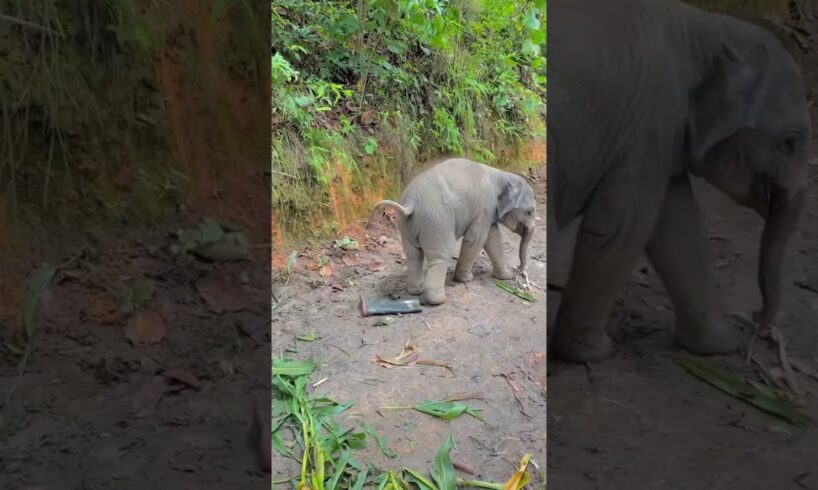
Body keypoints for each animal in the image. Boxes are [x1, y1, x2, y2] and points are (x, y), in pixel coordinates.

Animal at [368, 157, 536, 304]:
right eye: (530, 212)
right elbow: (476, 239)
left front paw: (506, 277)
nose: (519, 271)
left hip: (407, 224)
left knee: (413, 255)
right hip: (437, 221)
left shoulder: (487, 212)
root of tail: (410, 204)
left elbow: (492, 238)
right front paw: (466, 279)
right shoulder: (484, 207)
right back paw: (437, 300)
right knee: (440, 256)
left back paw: (416, 291)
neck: (501, 175)